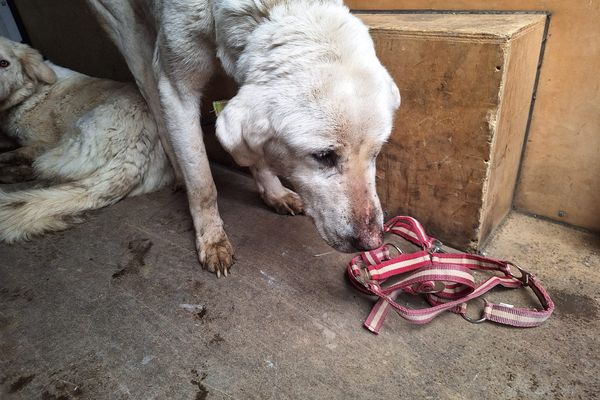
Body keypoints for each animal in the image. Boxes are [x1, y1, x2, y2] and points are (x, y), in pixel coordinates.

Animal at [0, 37, 173, 242]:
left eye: (4, 63)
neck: (29, 92)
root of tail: (135, 152)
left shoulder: (42, 144)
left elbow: (14, 153)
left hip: (61, 150)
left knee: (42, 172)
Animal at [88, 0, 398, 276]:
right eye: (323, 156)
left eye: (376, 152)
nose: (372, 243)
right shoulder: (177, 88)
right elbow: (202, 183)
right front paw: (212, 238)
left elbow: (254, 147)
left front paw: (274, 193)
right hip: (127, 31)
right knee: (151, 94)